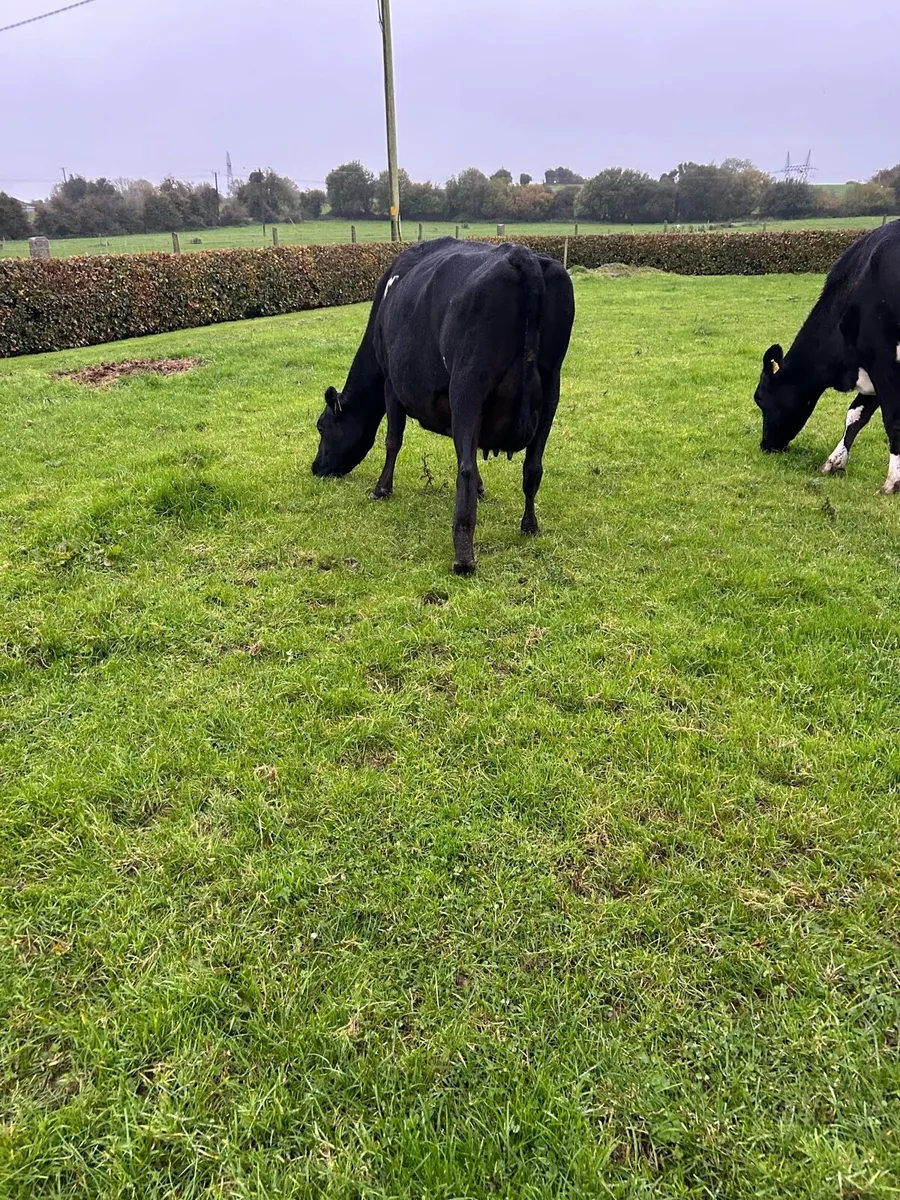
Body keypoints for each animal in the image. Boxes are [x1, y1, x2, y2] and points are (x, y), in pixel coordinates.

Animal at [312, 237, 575, 573]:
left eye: (322, 427)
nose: (316, 467)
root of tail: (521, 254)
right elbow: (461, 447)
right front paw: (482, 489)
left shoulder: (391, 383)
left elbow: (393, 440)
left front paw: (381, 489)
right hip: (551, 386)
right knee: (532, 466)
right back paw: (529, 526)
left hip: (468, 384)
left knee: (466, 468)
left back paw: (463, 556)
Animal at [754, 220, 900, 492]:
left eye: (759, 399)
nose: (766, 445)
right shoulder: (870, 369)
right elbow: (855, 415)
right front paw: (833, 462)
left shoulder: (884, 363)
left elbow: (893, 420)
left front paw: (893, 482)